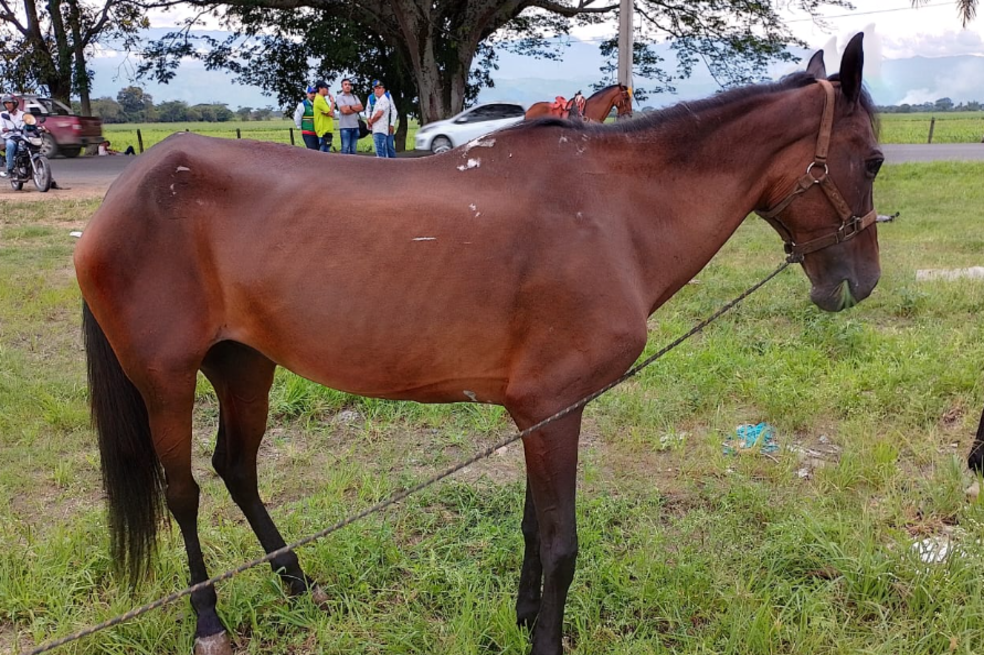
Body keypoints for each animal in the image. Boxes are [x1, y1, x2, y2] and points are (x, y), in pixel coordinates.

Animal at [74, 33, 880, 655]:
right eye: (870, 160)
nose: (860, 282)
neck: (609, 211)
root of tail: (128, 186)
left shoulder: (539, 412)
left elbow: (532, 528)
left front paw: (522, 617)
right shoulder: (555, 407)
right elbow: (560, 543)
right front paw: (546, 637)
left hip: (245, 364)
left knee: (236, 467)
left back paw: (296, 581)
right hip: (167, 378)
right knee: (183, 491)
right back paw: (209, 618)